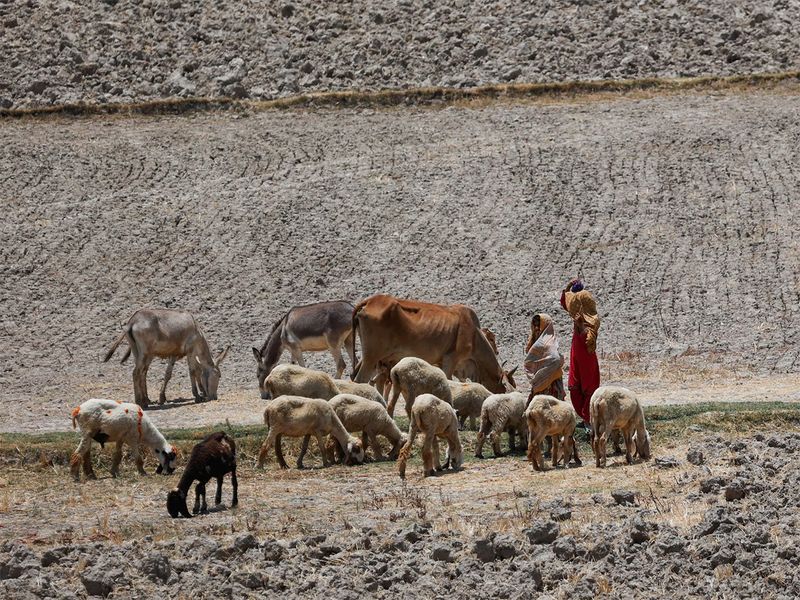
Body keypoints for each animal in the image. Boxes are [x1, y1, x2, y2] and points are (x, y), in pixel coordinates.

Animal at [352, 294, 516, 394]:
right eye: (504, 389)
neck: (474, 334)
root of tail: (370, 301)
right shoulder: (450, 361)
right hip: (371, 357)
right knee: (360, 380)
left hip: (371, 359)